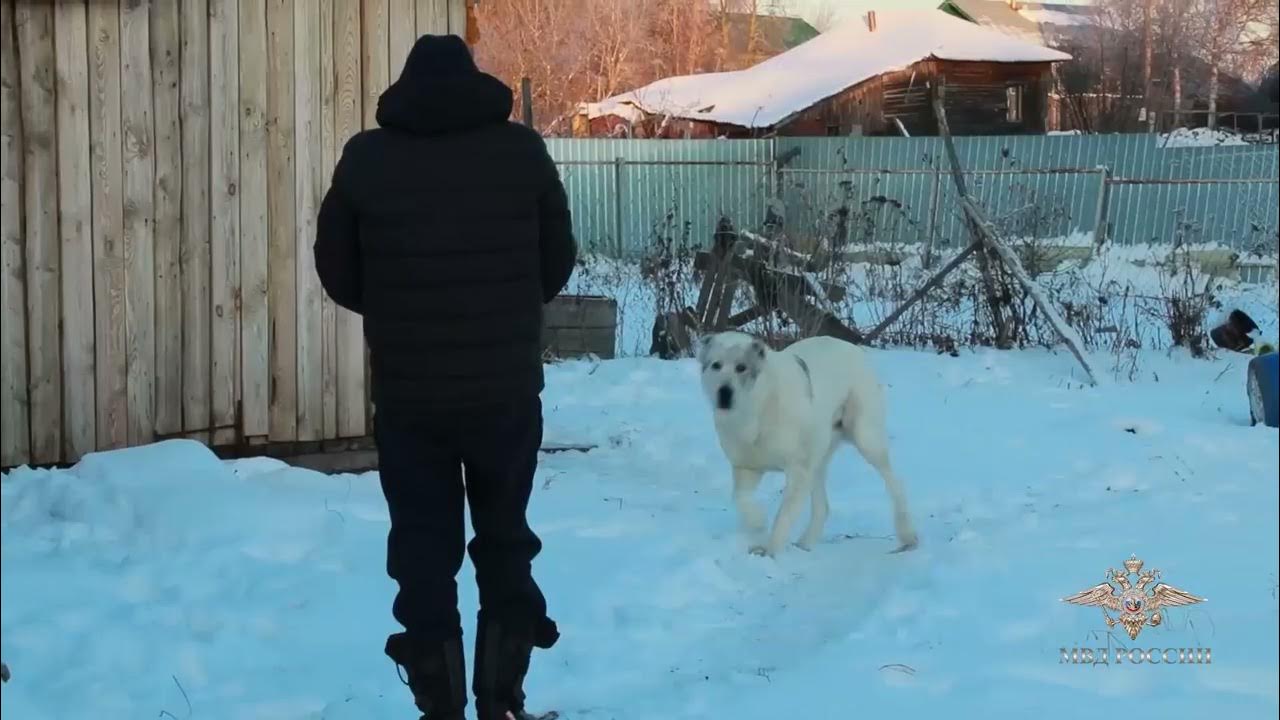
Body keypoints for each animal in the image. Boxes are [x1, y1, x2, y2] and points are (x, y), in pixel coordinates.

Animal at [701, 327, 921, 558]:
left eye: (741, 367)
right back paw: (804, 544)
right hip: (818, 455)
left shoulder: (798, 470)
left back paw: (908, 537)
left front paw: (770, 553)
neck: (757, 407)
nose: (724, 392)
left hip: (865, 438)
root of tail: (852, 347)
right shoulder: (746, 467)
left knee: (895, 482)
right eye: (716, 365)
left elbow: (783, 517)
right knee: (823, 506)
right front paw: (757, 523)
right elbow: (741, 498)